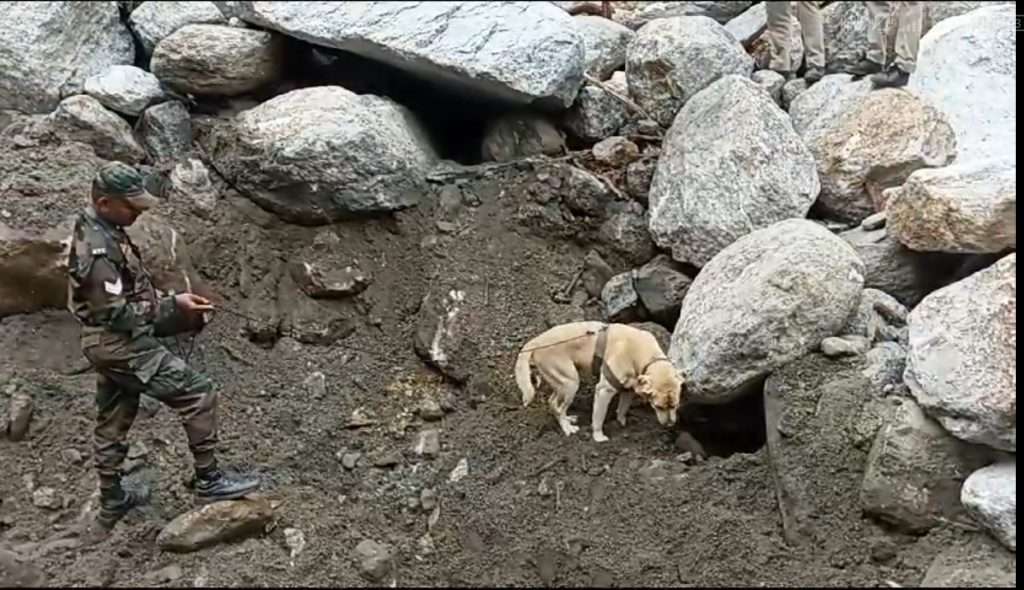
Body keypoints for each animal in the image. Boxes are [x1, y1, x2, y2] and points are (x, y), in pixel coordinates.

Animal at [516, 319, 684, 440]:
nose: (670, 425)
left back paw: (568, 419)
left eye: (675, 406)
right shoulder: (604, 390)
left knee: (553, 403)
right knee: (557, 407)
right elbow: (598, 417)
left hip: (561, 382)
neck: (646, 355)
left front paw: (621, 422)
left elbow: (623, 408)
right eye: (658, 407)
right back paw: (567, 428)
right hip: (570, 383)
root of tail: (535, 342)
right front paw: (598, 436)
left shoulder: (628, 389)